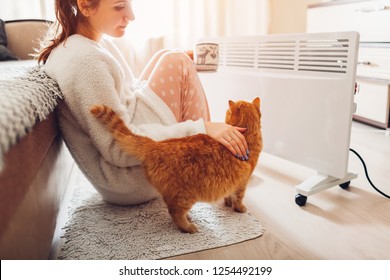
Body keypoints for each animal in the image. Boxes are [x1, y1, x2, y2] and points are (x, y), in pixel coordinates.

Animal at [90, 97, 264, 233]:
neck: (246, 135)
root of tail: (156, 145)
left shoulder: (233, 182)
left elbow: (229, 195)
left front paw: (228, 203)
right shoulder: (242, 182)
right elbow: (239, 198)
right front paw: (239, 209)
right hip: (185, 196)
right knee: (175, 213)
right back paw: (189, 227)